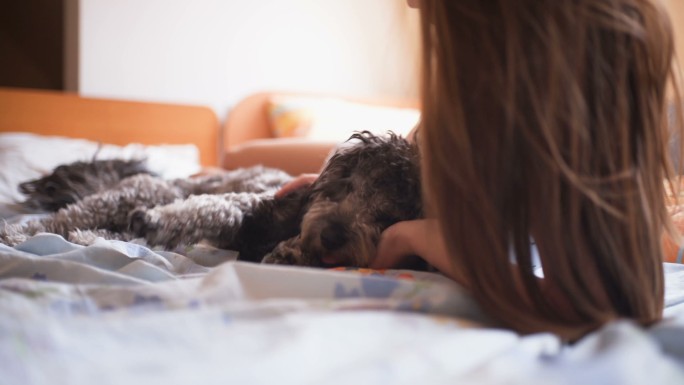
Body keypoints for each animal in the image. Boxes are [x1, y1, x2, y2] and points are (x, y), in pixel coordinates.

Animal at [1, 132, 422, 268]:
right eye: (346, 186)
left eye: (386, 216)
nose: (333, 235)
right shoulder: (254, 205)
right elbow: (210, 209)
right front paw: (161, 220)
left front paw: (291, 254)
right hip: (141, 192)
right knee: (62, 218)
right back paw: (19, 234)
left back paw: (93, 238)